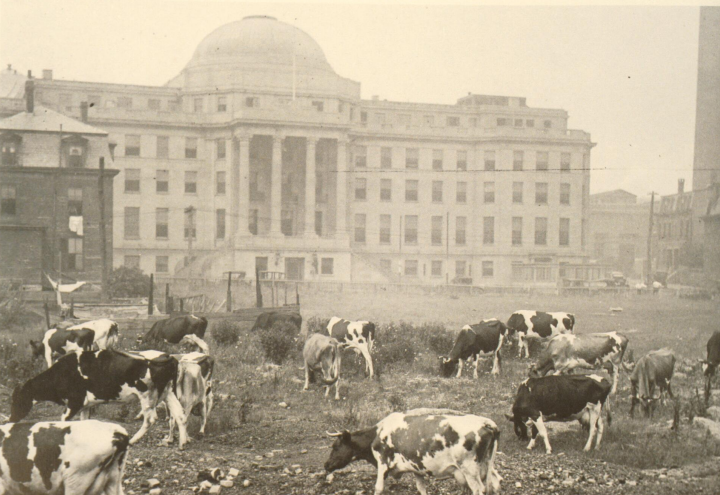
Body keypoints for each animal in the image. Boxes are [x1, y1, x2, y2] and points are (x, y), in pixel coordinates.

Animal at [10, 348, 188, 450]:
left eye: (18, 399)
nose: (10, 419)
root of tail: (168, 357)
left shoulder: (74, 403)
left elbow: (63, 421)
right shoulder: (85, 405)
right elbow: (83, 422)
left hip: (147, 396)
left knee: (150, 419)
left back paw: (132, 440)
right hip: (168, 393)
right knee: (180, 415)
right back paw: (181, 443)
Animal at [326, 410, 500, 495]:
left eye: (335, 446)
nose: (326, 465)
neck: (377, 433)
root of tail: (486, 422)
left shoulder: (383, 463)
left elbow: (378, 488)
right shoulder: (417, 468)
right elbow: (421, 489)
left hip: (470, 469)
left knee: (479, 489)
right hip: (487, 466)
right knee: (496, 483)